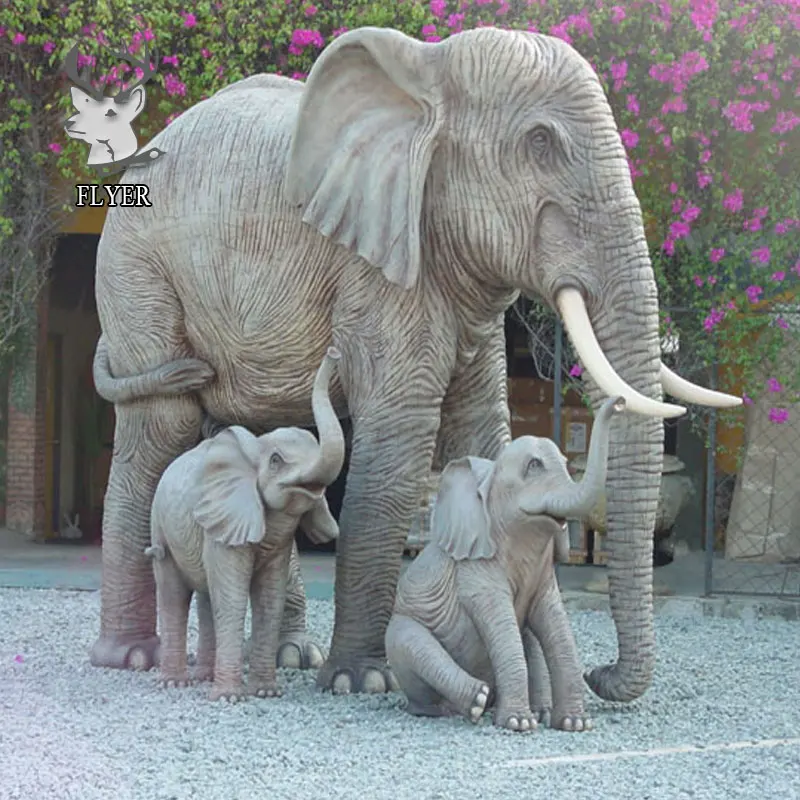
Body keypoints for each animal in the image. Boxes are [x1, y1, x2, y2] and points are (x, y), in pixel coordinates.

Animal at [144, 349, 345, 701]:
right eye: (276, 461)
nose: (335, 352)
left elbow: (269, 598)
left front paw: (266, 693)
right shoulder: (222, 520)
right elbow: (233, 597)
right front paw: (228, 698)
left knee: (206, 597)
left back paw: (203, 677)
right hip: (160, 527)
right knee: (173, 594)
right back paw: (174, 683)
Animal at [386, 396, 624, 731]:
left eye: (565, 464)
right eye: (534, 465)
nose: (620, 402)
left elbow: (553, 621)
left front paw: (575, 724)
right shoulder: (476, 570)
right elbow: (502, 622)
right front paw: (518, 724)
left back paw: (539, 712)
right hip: (402, 632)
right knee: (411, 643)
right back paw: (474, 702)